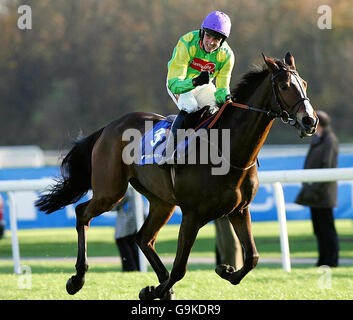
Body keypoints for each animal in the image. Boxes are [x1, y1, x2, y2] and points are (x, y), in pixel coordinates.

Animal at [35, 53, 316, 300]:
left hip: (162, 201)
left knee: (143, 238)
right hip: (110, 191)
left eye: (303, 84)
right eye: (284, 85)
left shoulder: (239, 210)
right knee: (82, 213)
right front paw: (151, 290)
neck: (228, 149)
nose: (310, 121)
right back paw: (77, 279)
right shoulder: (192, 214)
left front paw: (224, 270)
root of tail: (108, 127)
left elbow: (252, 258)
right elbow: (180, 268)